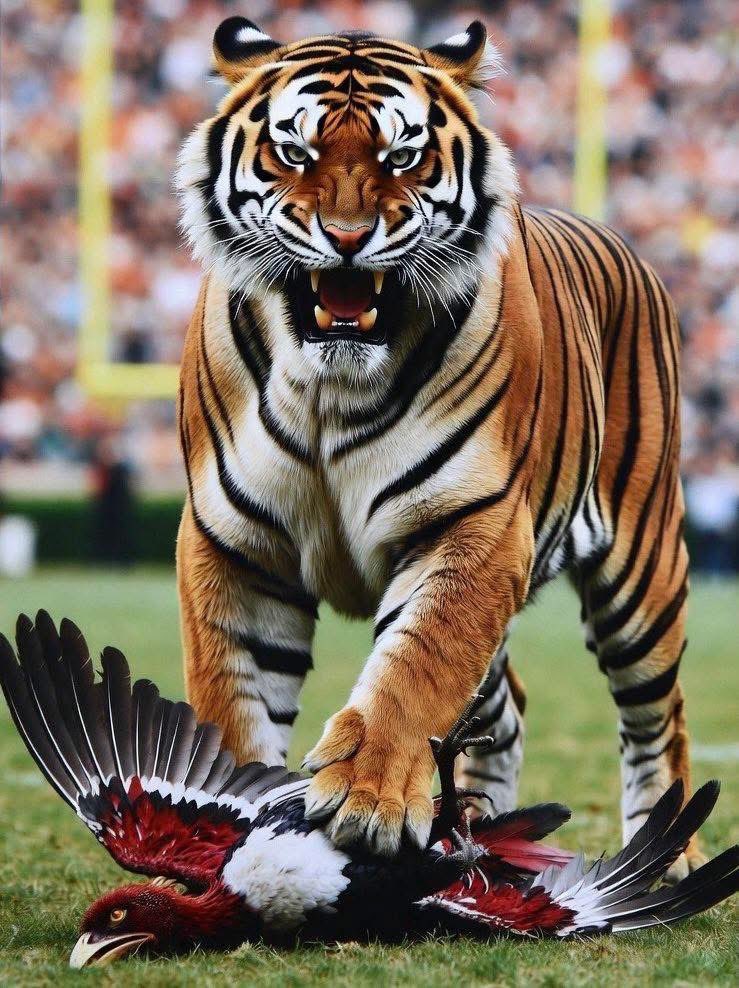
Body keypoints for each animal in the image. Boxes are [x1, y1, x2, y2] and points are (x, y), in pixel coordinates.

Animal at [175, 16, 701, 879]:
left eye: (401, 156)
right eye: (293, 152)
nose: (347, 239)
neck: (327, 384)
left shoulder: (472, 529)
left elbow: (414, 668)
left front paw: (367, 799)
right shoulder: (234, 542)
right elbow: (231, 698)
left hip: (641, 574)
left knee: (658, 717)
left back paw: (671, 855)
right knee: (505, 708)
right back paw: (481, 823)